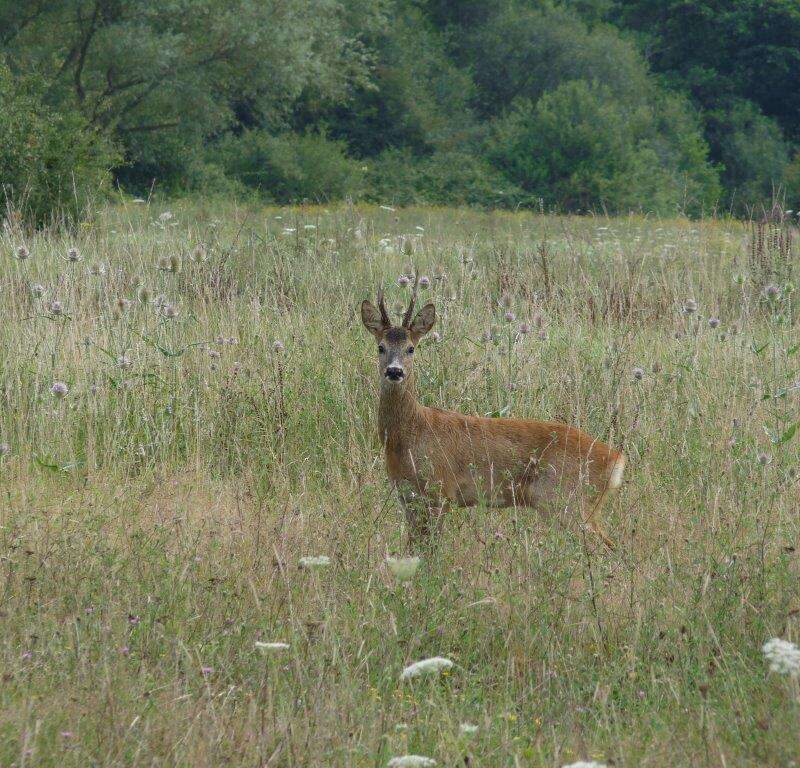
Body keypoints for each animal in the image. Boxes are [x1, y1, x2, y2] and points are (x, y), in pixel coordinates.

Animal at [360, 280, 624, 548]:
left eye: (411, 348)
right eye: (380, 347)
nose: (394, 371)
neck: (411, 433)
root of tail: (615, 458)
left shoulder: (440, 492)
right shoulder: (408, 498)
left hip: (567, 502)